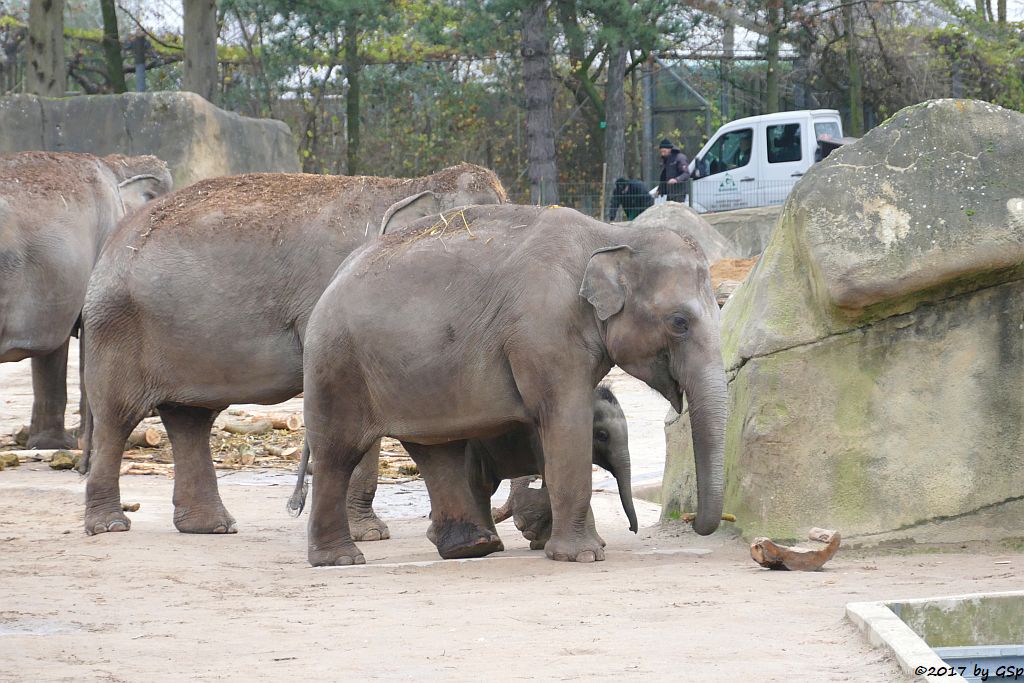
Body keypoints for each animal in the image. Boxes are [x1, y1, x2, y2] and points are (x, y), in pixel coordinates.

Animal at [80, 163, 507, 540]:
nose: (294, 505)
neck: (410, 185)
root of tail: (112, 243)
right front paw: (370, 535)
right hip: (118, 326)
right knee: (118, 416)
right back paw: (110, 526)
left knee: (189, 418)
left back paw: (210, 526)